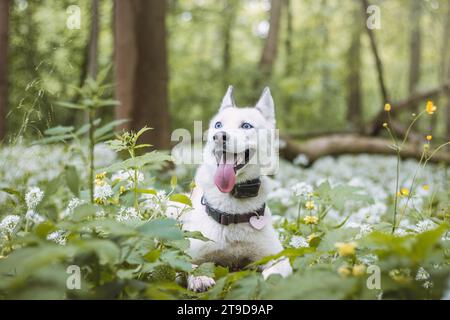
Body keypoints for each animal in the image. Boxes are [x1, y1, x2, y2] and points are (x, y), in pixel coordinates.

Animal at [182, 86, 292, 292]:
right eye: (218, 125)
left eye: (246, 126)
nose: (219, 137)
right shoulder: (188, 252)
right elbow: (187, 263)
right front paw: (200, 278)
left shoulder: (277, 257)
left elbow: (274, 271)